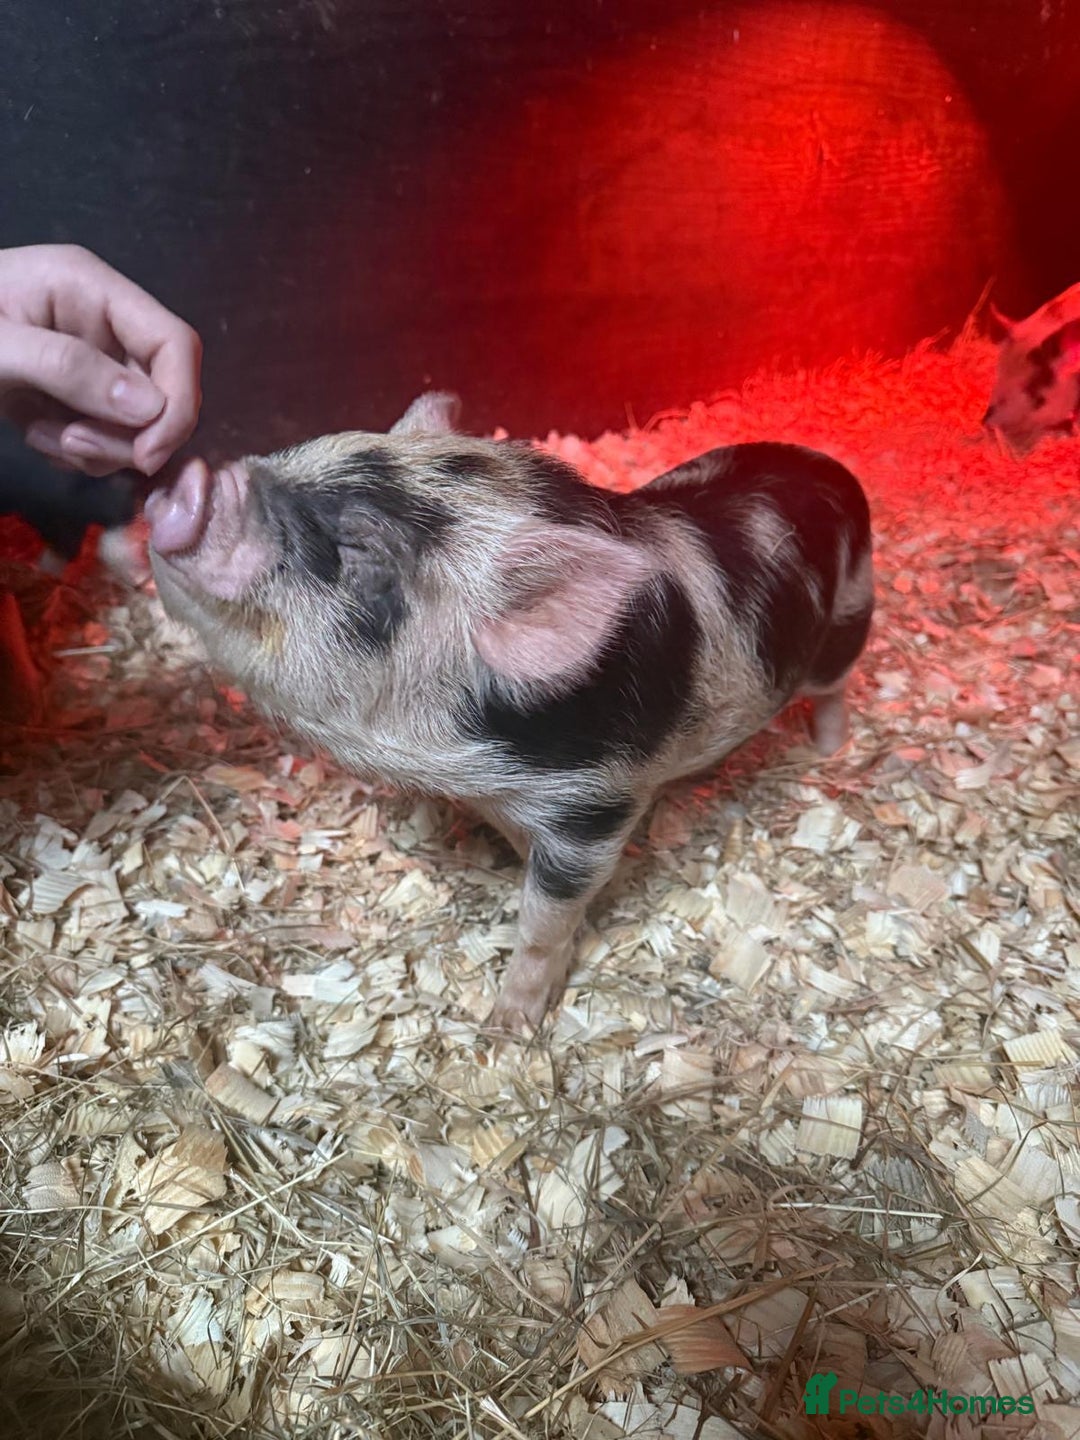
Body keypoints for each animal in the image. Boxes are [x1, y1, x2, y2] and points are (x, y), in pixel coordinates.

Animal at [145, 398, 873, 1031]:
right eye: (294, 451)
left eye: (360, 547)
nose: (185, 486)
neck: (469, 764)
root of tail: (828, 464)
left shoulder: (594, 804)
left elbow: (546, 919)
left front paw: (507, 1026)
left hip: (848, 616)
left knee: (835, 688)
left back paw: (825, 750)